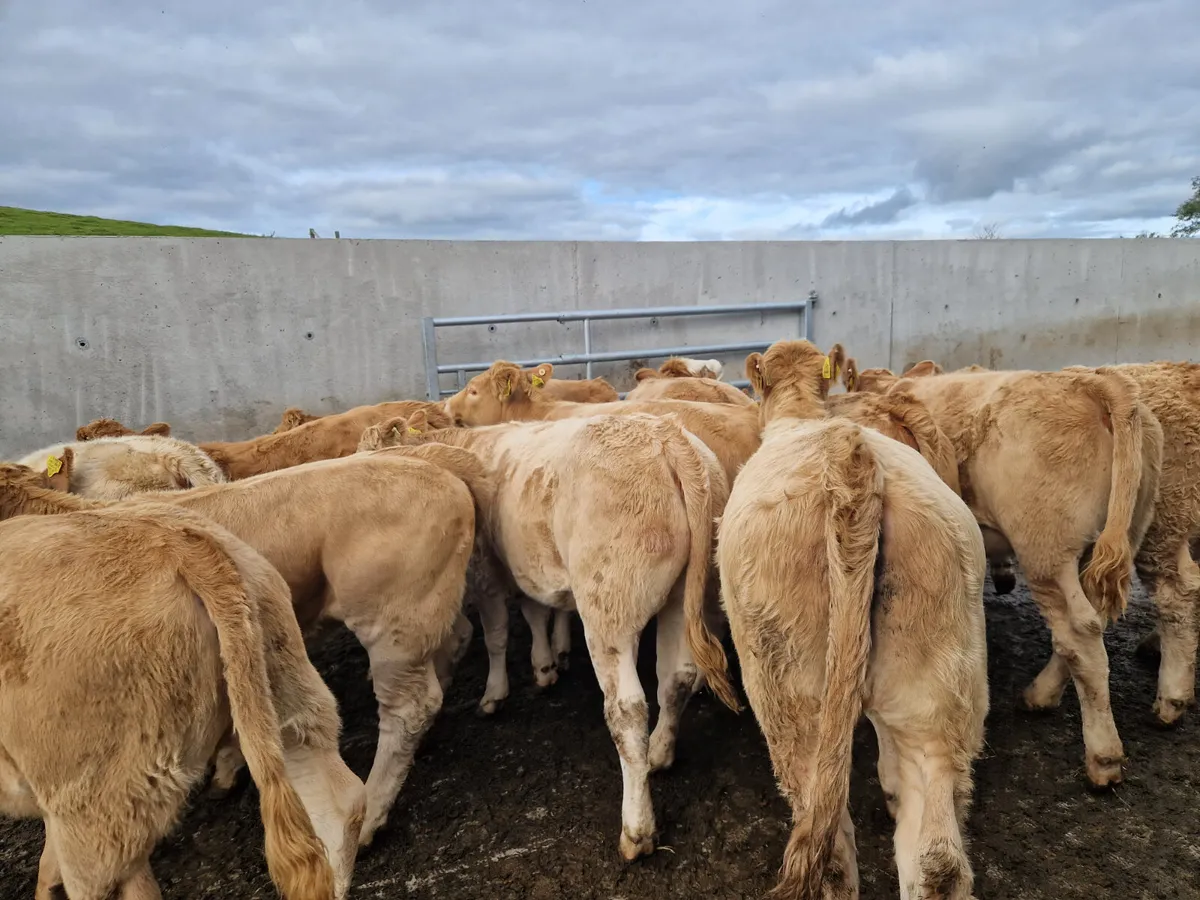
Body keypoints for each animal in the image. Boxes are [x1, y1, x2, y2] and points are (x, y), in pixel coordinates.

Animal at [9, 448, 480, 849]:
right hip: (430, 608)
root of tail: (441, 472)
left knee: (409, 707)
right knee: (455, 641)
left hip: (390, 620)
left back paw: (371, 817)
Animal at [379, 408, 734, 859]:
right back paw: (660, 751)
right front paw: (546, 665)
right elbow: (535, 611)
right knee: (676, 678)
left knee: (627, 710)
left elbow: (496, 631)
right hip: (686, 595)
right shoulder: (526, 565)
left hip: (608, 608)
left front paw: (495, 693)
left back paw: (636, 829)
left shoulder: (484, 567)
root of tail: (665, 434)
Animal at [710, 340, 984, 900]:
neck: (801, 417)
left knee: (832, 851)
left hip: (789, 692)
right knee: (937, 858)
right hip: (939, 688)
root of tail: (849, 460)